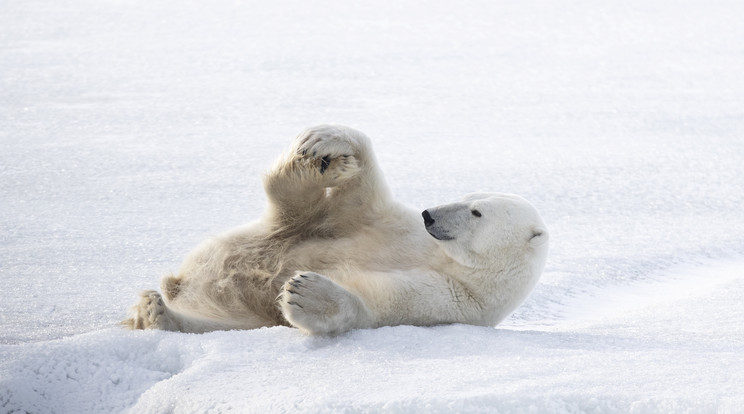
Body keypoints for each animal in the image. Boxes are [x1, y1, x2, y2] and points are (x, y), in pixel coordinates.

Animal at [125, 124, 548, 334]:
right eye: (467, 195)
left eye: (476, 212)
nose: (429, 215)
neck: (449, 261)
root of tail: (182, 282)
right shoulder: (392, 226)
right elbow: (360, 203)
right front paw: (331, 141)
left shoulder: (454, 300)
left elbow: (377, 305)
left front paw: (305, 293)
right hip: (277, 233)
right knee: (293, 208)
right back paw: (320, 160)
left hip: (242, 311)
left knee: (215, 322)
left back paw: (157, 313)